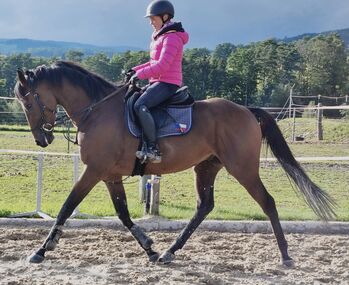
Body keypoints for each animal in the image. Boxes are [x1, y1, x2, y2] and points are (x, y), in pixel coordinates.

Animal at [14, 61, 334, 266]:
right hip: (207, 167)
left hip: (242, 168)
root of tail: (245, 110)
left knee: (267, 202)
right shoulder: (109, 175)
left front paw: (42, 250)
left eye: (28, 103)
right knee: (204, 206)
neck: (97, 111)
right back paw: (170, 252)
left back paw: (286, 256)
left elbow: (67, 206)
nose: (42, 140)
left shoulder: (94, 171)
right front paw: (150, 249)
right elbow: (123, 214)